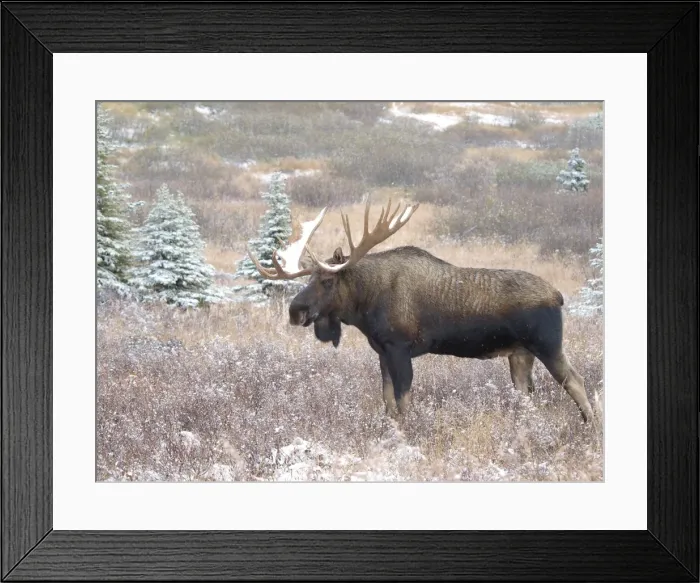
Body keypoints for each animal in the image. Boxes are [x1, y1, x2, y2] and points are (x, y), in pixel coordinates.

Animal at [247, 197, 595, 424]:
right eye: (308, 278)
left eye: (328, 280)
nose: (295, 311)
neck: (365, 303)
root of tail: (558, 296)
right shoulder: (382, 352)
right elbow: (388, 402)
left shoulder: (400, 348)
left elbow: (404, 403)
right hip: (519, 355)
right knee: (526, 396)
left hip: (547, 345)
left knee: (577, 382)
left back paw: (590, 427)